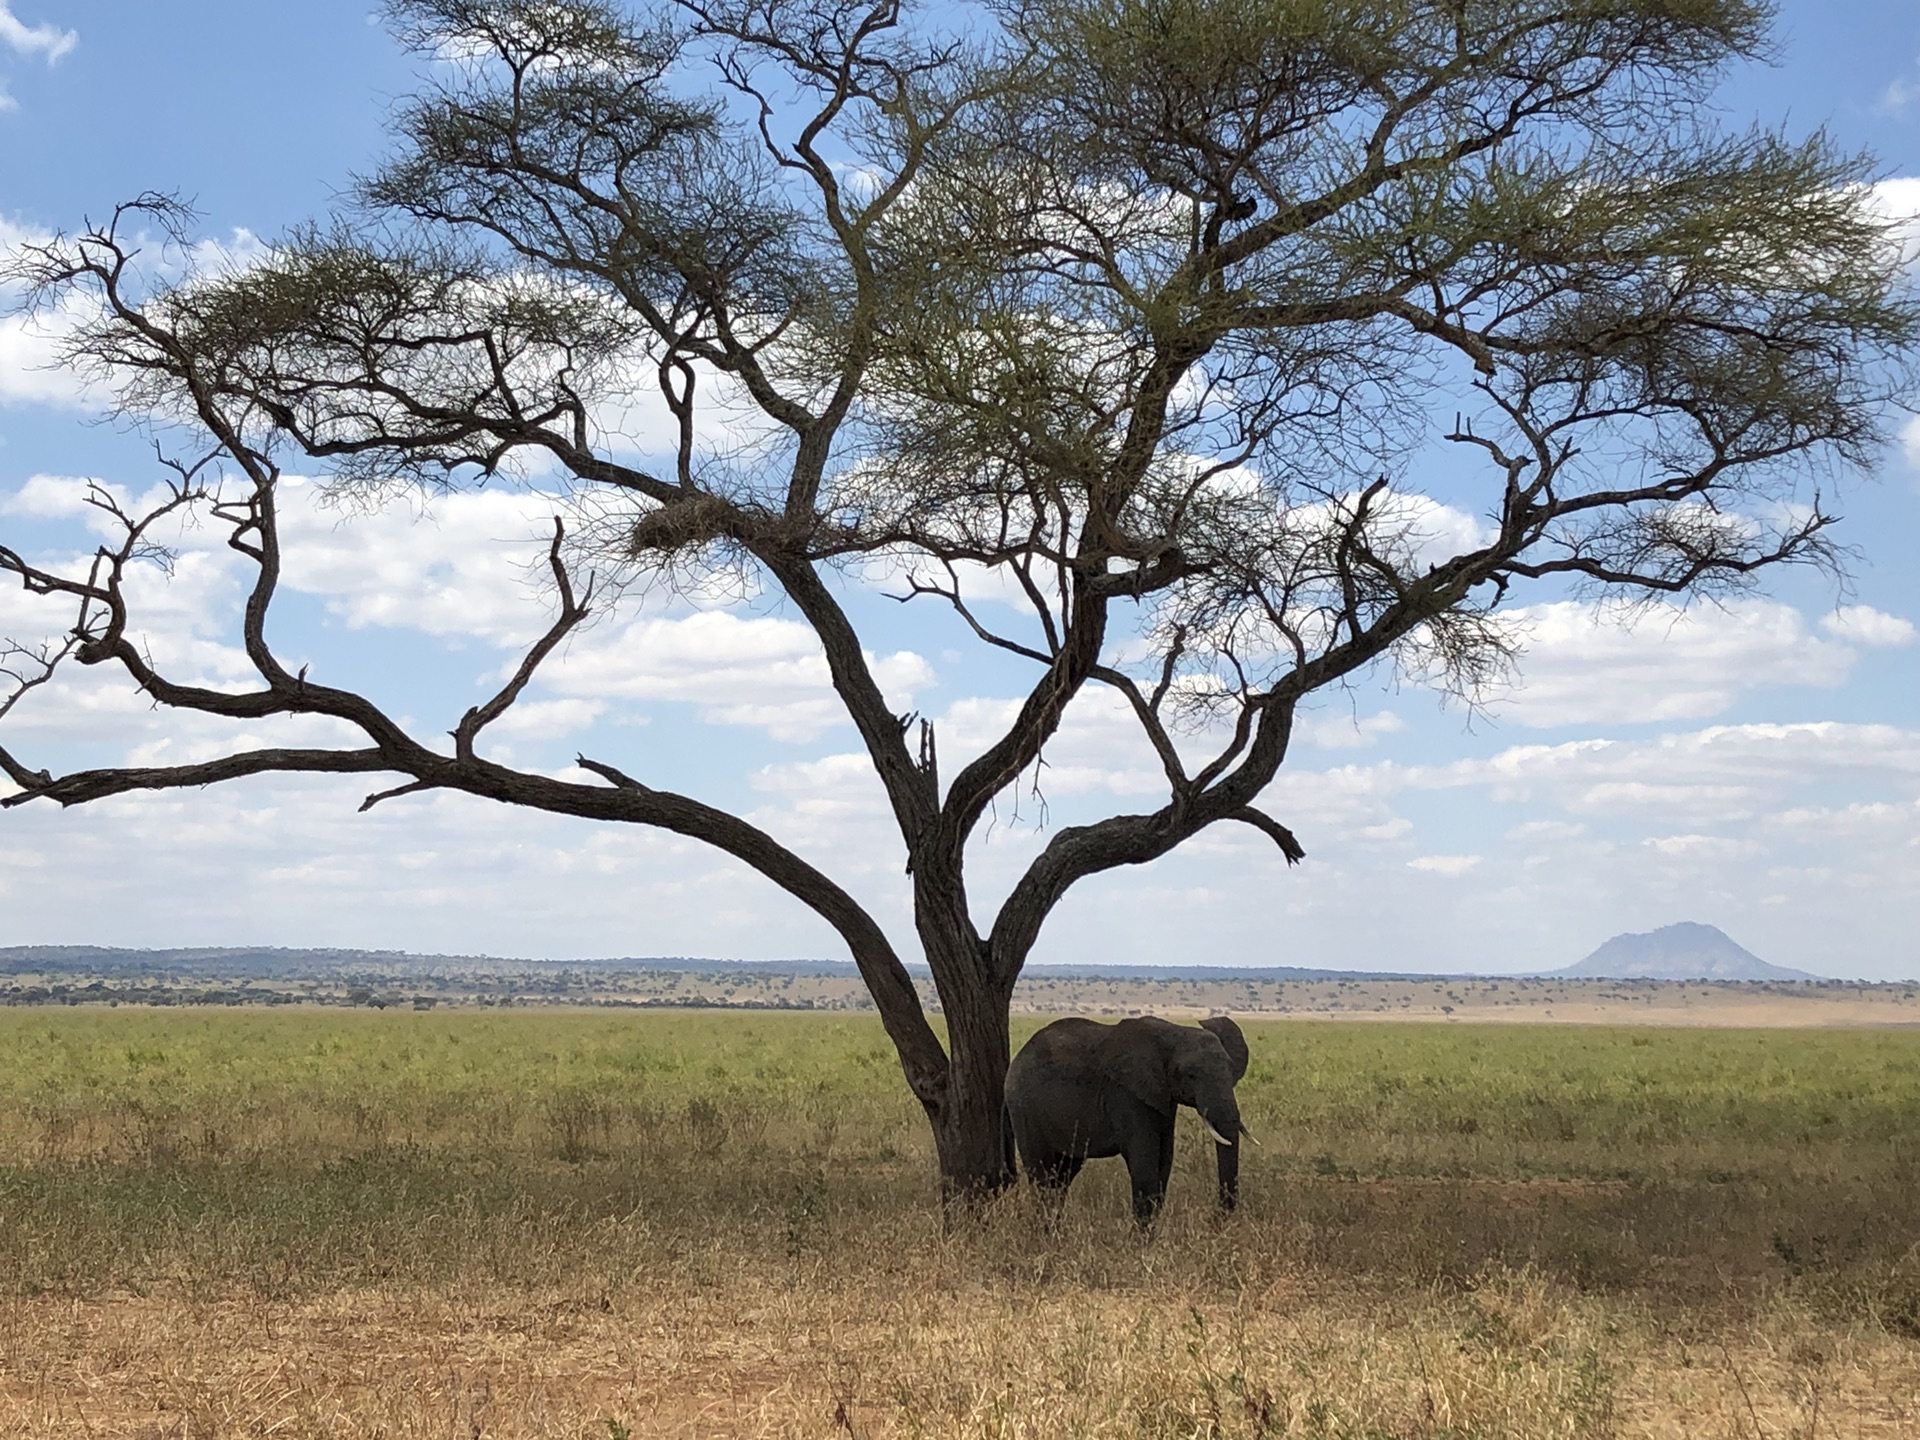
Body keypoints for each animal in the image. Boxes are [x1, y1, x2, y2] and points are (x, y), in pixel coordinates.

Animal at [1006, 1013, 1259, 1228]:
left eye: (1231, 1070)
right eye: (1190, 1075)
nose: (1212, 1221)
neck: (1174, 1033)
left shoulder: (1163, 1099)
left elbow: (1164, 1162)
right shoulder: (1126, 1094)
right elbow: (1144, 1162)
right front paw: (1141, 1243)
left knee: (1063, 1175)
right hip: (1024, 1108)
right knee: (1042, 1173)